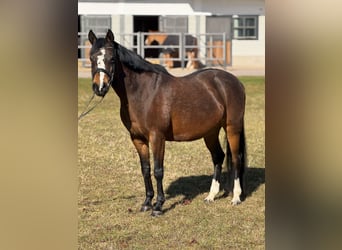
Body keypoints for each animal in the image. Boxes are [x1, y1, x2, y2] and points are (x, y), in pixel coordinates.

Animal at [88, 29, 246, 217]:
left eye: (112, 59)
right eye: (91, 58)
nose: (100, 87)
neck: (143, 92)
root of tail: (235, 81)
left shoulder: (157, 137)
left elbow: (158, 171)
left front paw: (158, 206)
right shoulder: (137, 138)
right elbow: (145, 169)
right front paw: (147, 203)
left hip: (232, 128)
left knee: (236, 159)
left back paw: (236, 198)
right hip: (210, 132)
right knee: (218, 157)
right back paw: (211, 196)